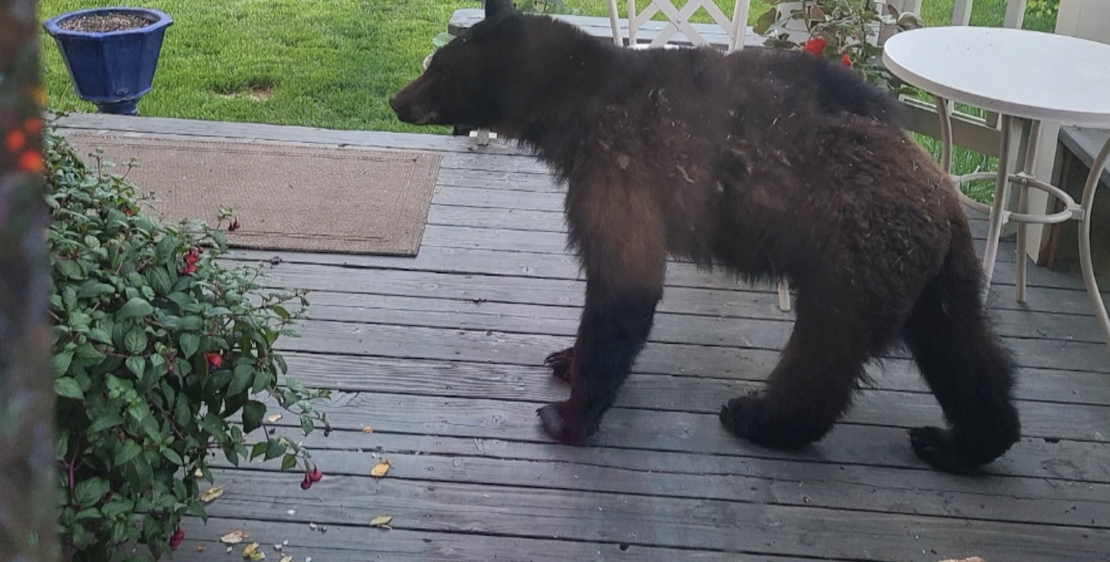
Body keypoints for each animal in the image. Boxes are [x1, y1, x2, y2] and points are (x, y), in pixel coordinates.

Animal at [389, 0, 1021, 475]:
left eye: (437, 68)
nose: (397, 99)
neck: (571, 104)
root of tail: (941, 194)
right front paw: (566, 357)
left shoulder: (619, 164)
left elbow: (626, 284)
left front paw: (567, 414)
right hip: (939, 271)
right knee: (965, 350)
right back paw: (964, 442)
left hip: (855, 256)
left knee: (825, 350)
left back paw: (760, 417)